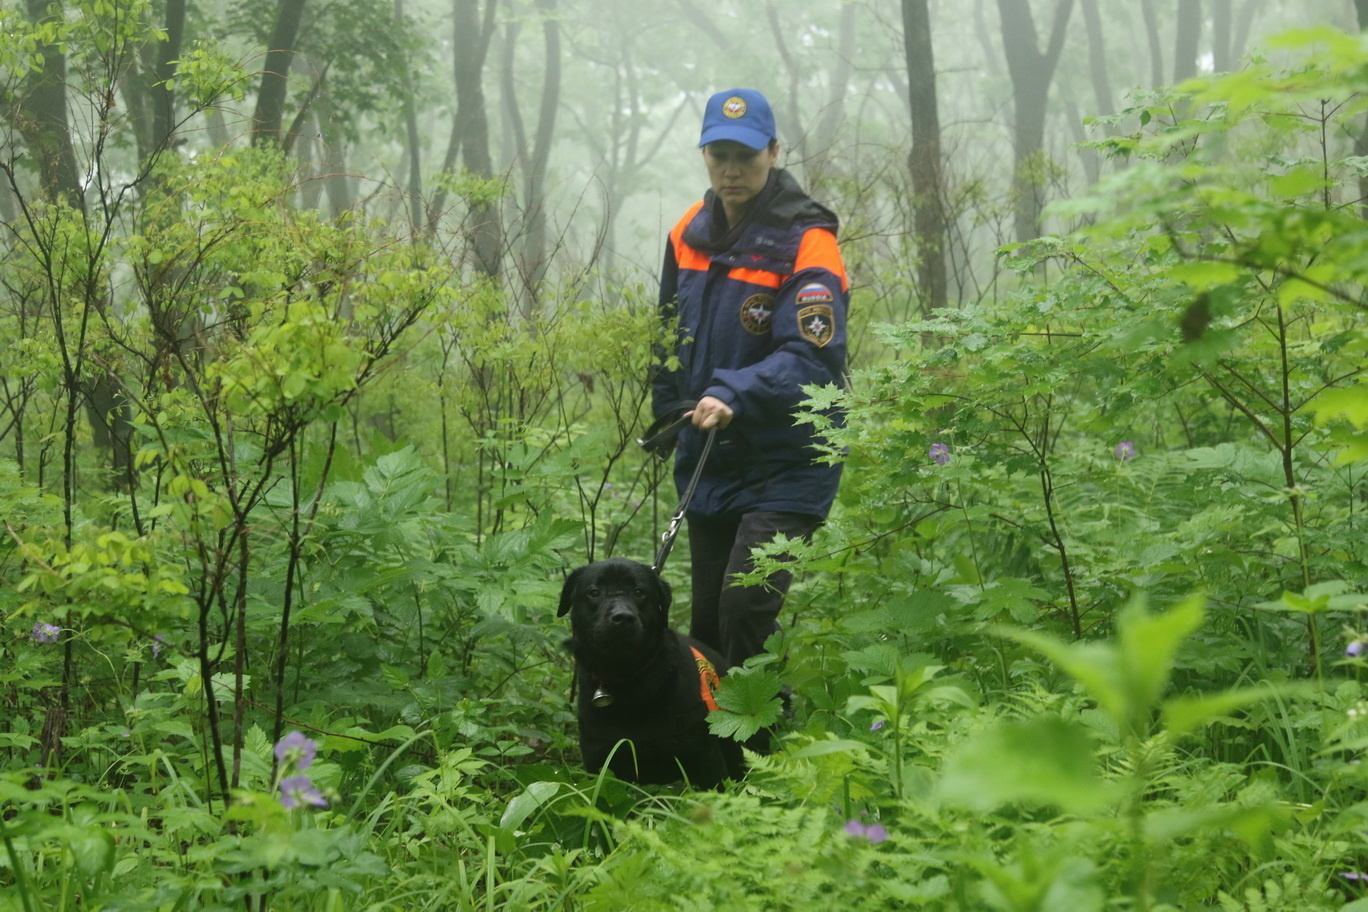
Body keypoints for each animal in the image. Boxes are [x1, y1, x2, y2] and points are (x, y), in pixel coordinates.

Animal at [558, 560, 749, 787]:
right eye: (594, 592)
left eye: (639, 592)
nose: (623, 617)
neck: (627, 679)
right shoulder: (598, 762)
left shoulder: (707, 760)